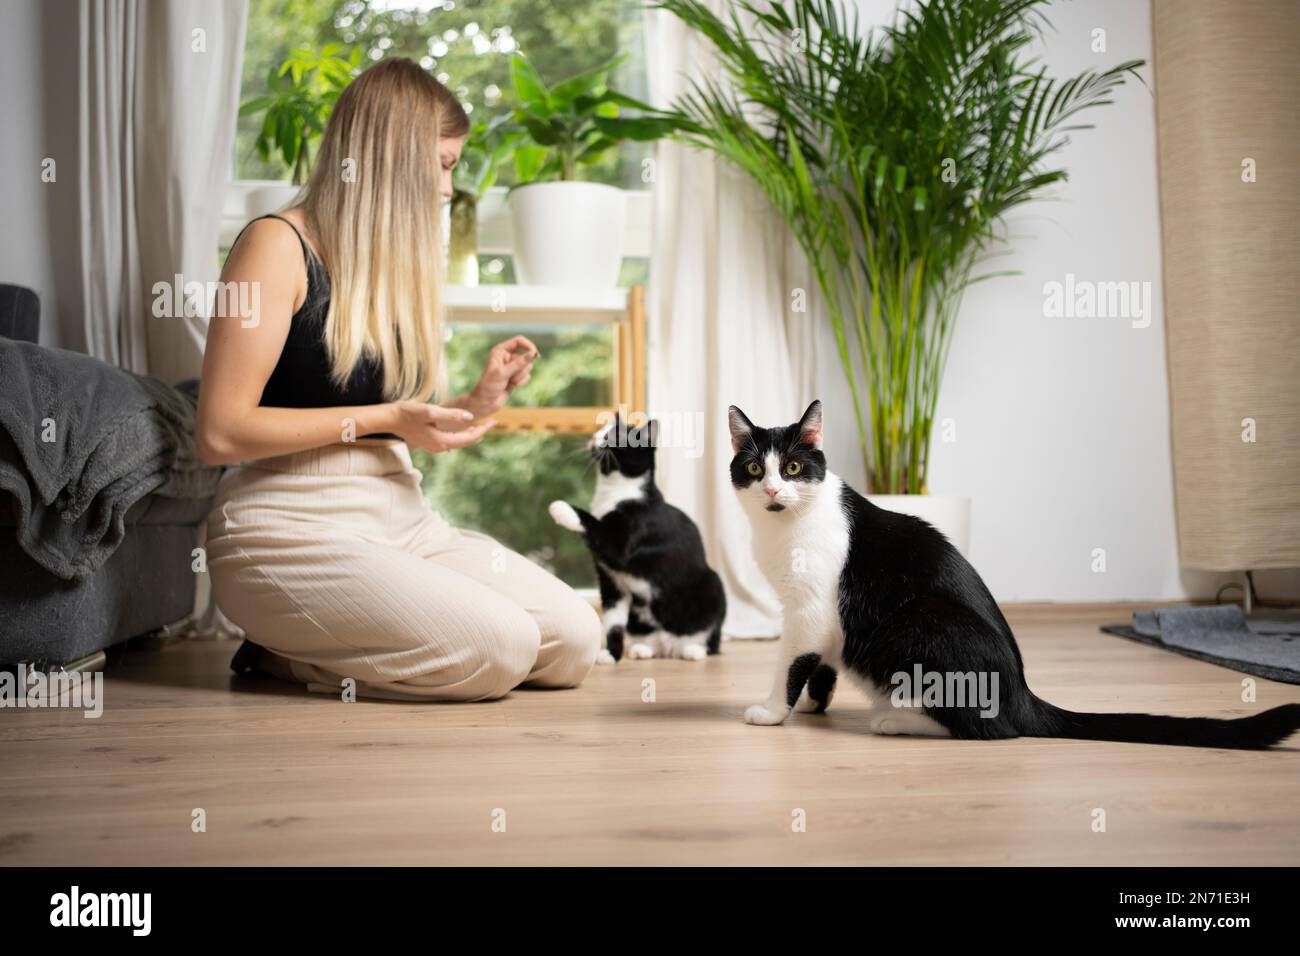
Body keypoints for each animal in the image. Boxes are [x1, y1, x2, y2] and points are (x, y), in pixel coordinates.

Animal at [548, 411, 728, 665]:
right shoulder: (612, 581)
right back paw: (643, 649)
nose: (595, 437)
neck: (614, 493)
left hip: (713, 584)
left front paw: (562, 508)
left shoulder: (619, 546)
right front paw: (612, 654)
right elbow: (613, 623)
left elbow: (593, 524)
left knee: (711, 640)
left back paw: (694, 650)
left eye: (613, 435)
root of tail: (668, 646)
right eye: (601, 431)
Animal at [728, 400, 1300, 749]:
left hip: (917, 623)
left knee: (994, 729)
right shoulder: (824, 622)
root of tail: (1024, 695)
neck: (784, 528)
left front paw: (773, 710)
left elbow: (791, 662)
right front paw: (813, 706)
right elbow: (821, 663)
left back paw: (896, 719)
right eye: (755, 469)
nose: (773, 489)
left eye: (794, 468)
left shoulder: (810, 610)